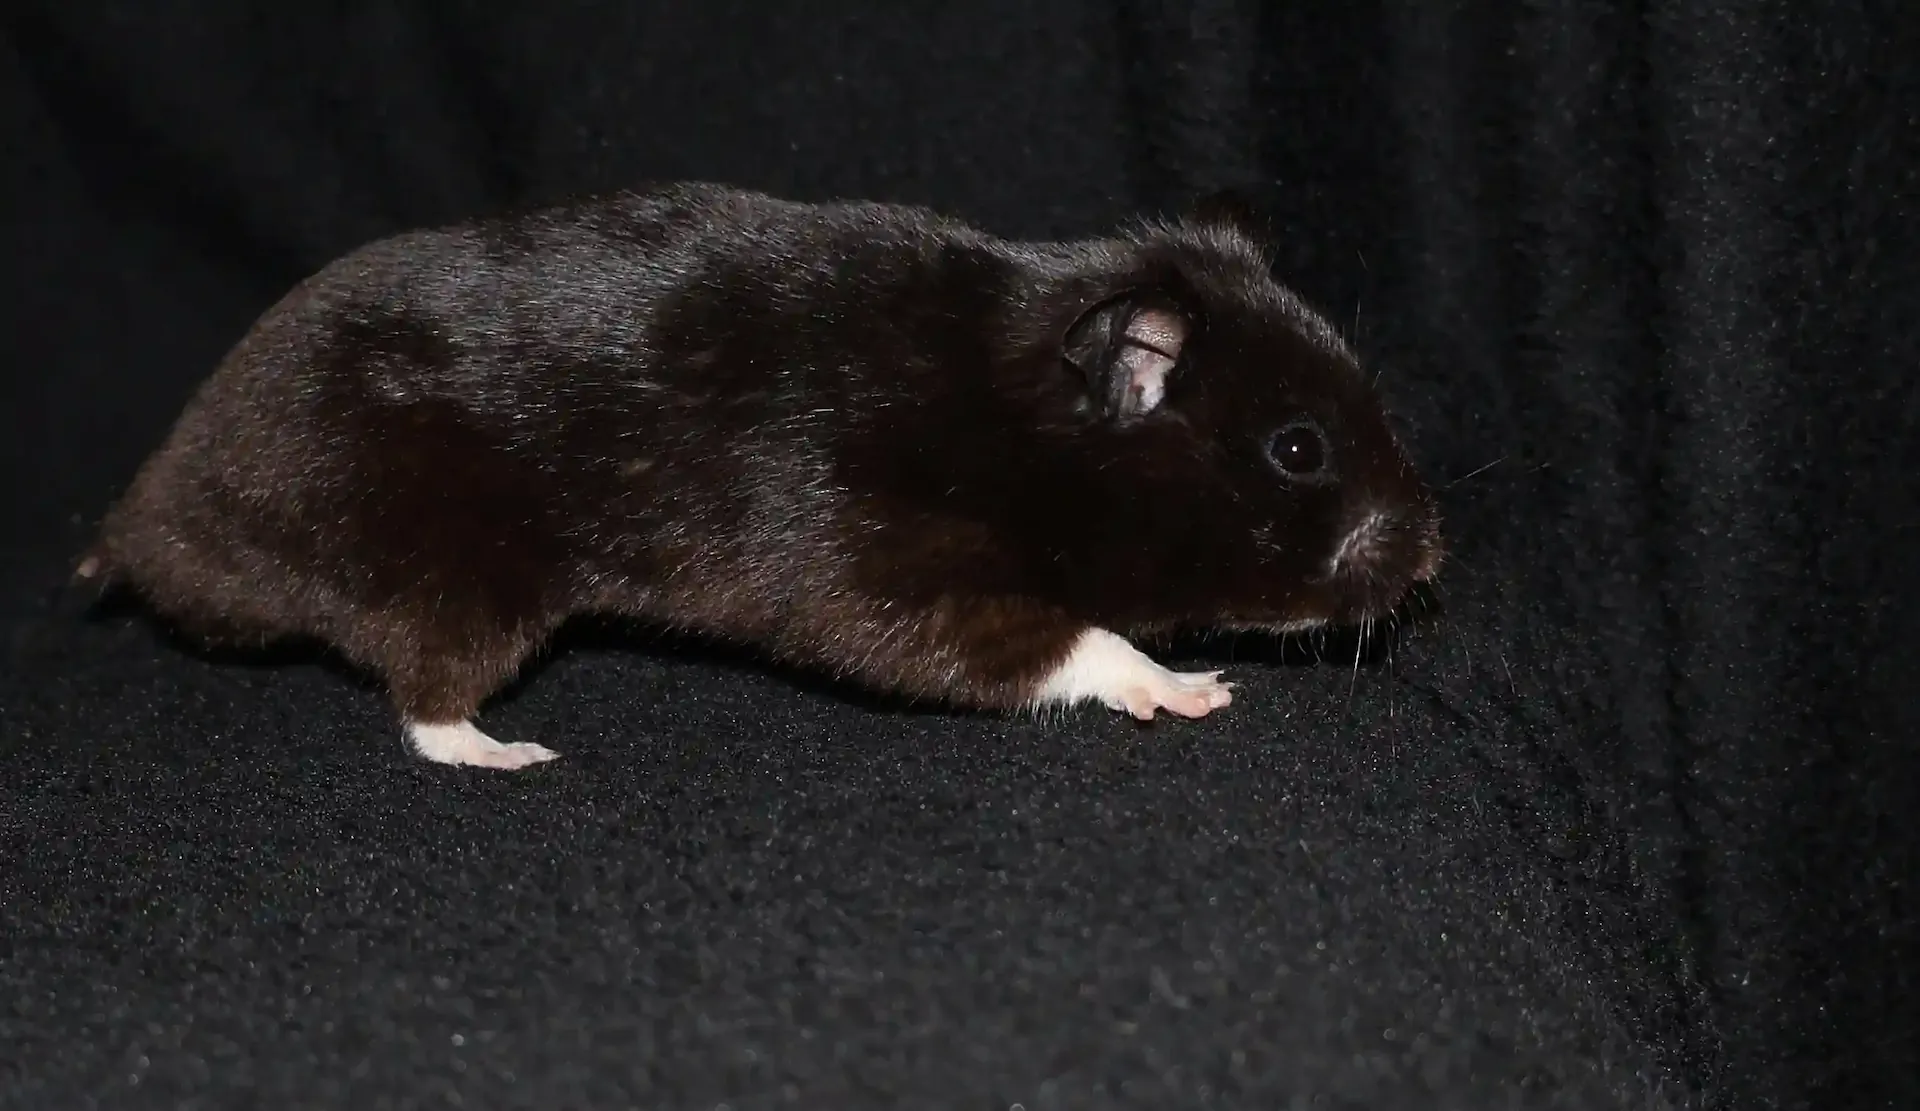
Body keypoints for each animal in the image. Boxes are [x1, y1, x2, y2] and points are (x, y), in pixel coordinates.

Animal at [77, 181, 1443, 770]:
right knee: (426, 706)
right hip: (452, 565)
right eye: (1298, 449)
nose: (1435, 556)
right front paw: (1187, 686)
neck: (1019, 414)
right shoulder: (873, 550)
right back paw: (510, 751)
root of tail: (155, 517)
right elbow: (1054, 640)